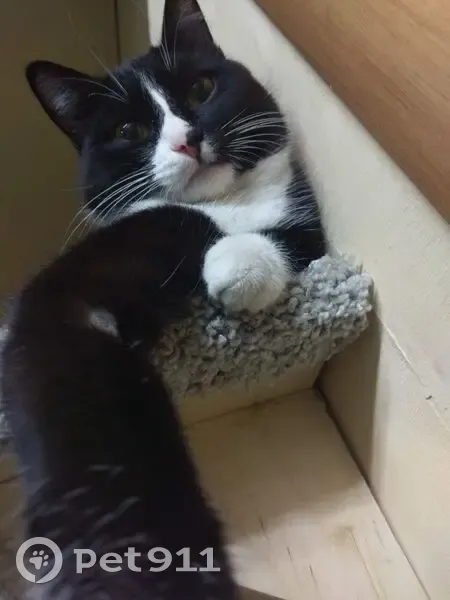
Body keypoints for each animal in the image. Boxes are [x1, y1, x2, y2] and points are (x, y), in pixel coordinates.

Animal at [26, 0, 326, 314]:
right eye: (128, 130)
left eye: (201, 89)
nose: (187, 140)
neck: (223, 202)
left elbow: (305, 240)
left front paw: (240, 264)